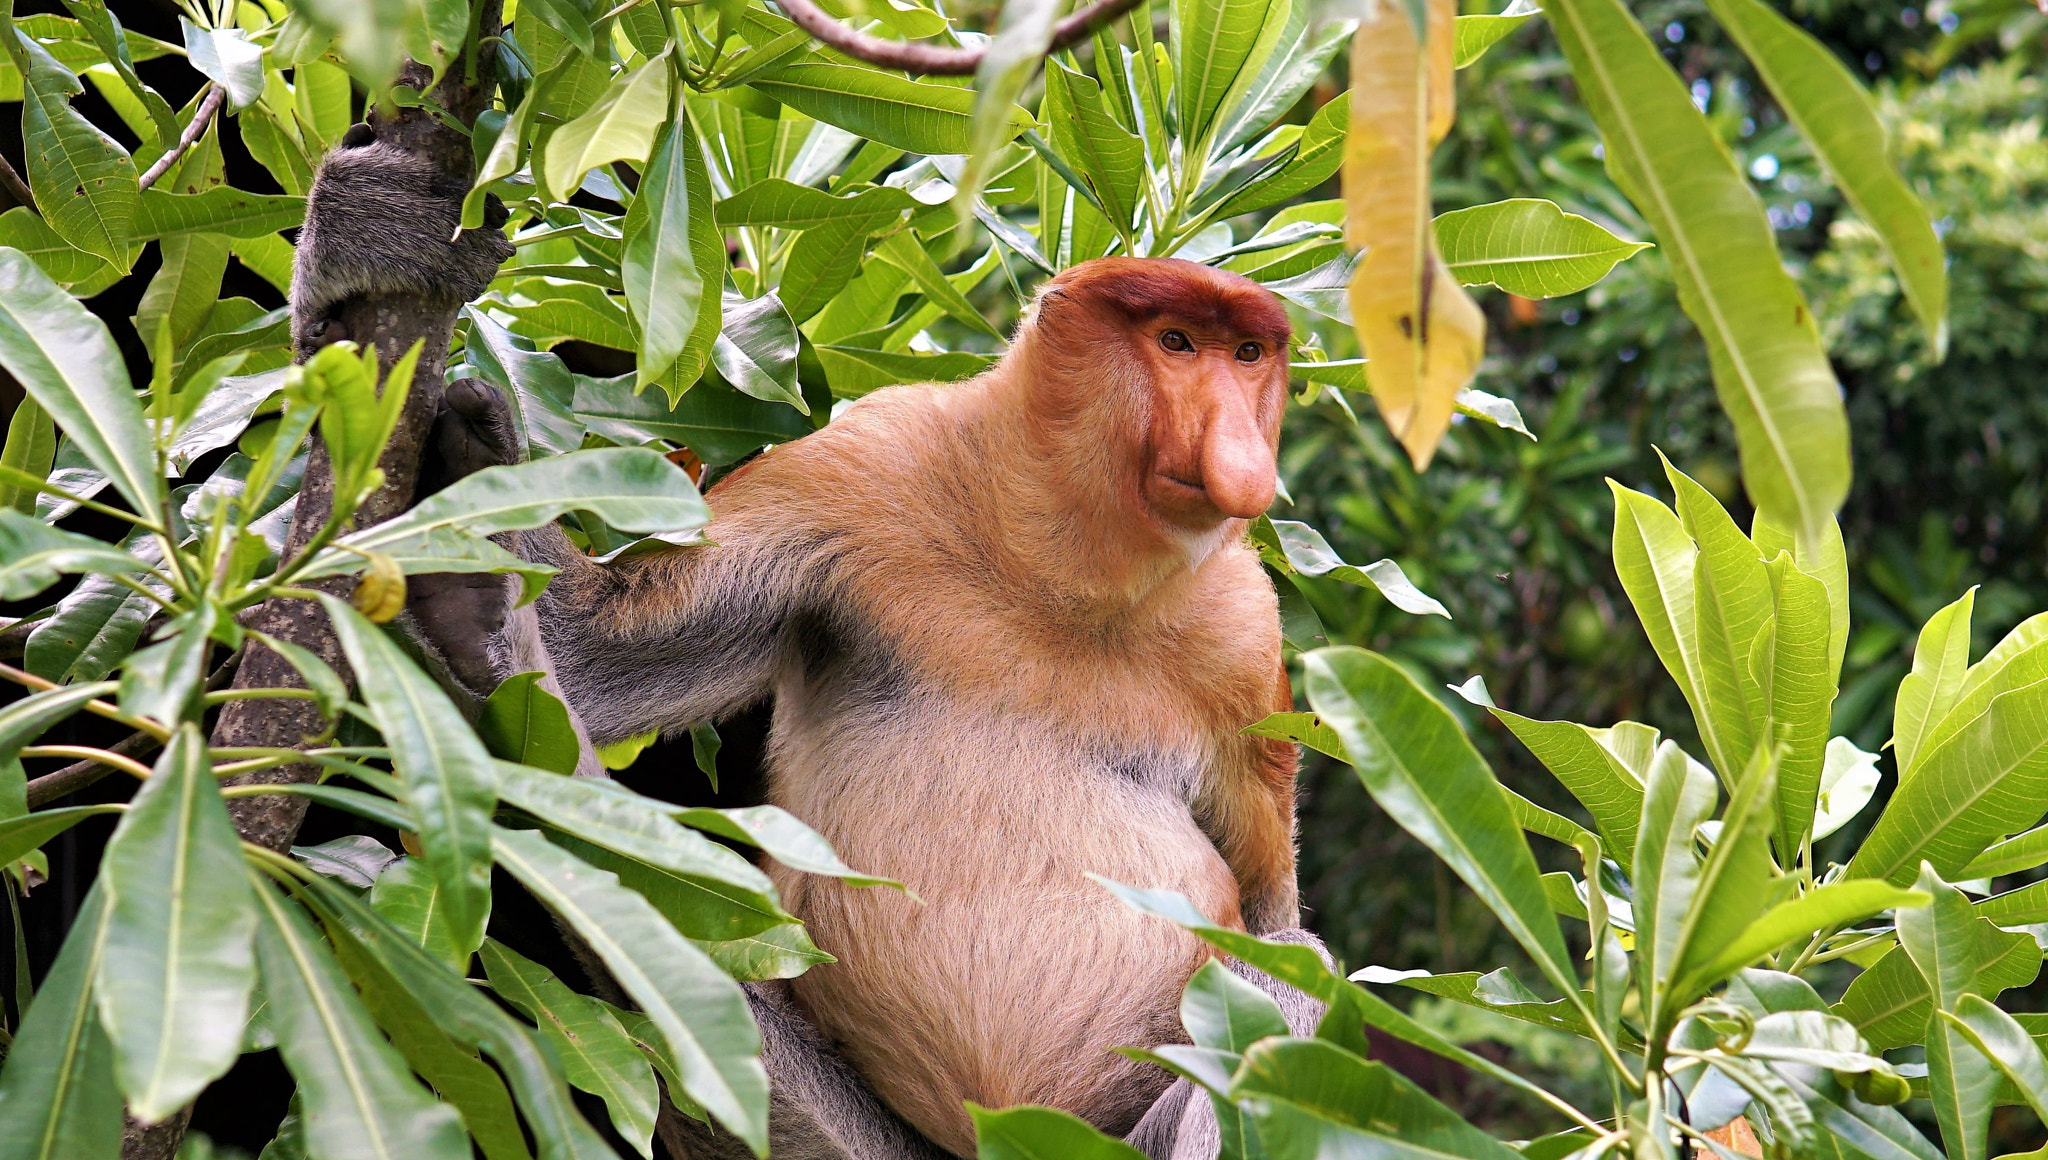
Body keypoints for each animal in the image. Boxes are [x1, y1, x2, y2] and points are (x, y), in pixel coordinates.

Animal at [401, 257, 1335, 1160]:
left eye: (1247, 355)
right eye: (1176, 342)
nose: (1243, 455)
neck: (1072, 574)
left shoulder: (1245, 636)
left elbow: (1266, 906)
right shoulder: (862, 464)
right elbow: (599, 656)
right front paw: (473, 446)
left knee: (1284, 974)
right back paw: (474, 616)